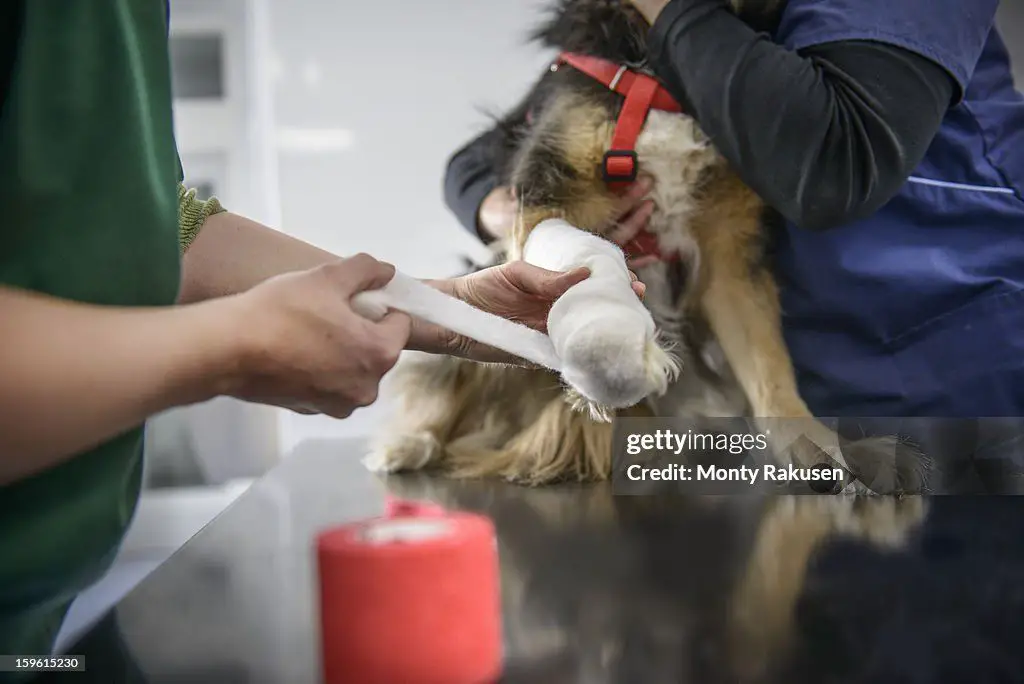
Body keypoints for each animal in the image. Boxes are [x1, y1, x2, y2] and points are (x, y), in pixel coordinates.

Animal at [364, 0, 925, 491]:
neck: (660, 76)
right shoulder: (548, 191)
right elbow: (583, 262)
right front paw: (609, 345)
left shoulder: (729, 253)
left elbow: (769, 362)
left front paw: (816, 447)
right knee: (448, 377)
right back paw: (411, 444)